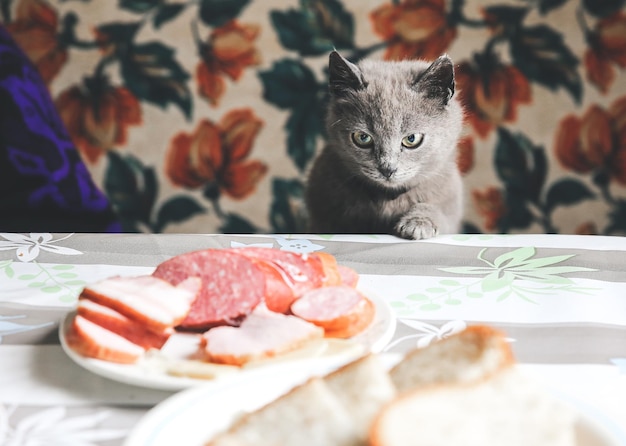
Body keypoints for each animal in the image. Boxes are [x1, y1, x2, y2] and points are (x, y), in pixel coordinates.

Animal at [304, 51, 464, 240]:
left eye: (411, 139)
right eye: (363, 138)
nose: (387, 169)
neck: (388, 198)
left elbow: (437, 209)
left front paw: (417, 223)